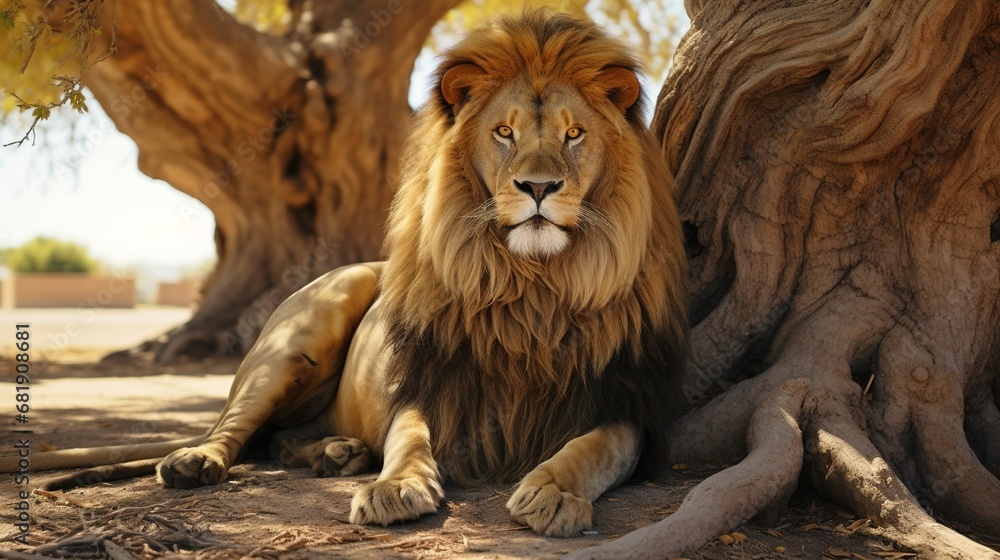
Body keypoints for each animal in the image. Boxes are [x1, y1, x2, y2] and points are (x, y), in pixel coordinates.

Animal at [3, 10, 687, 537]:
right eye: (503, 132)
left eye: (573, 134)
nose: (539, 188)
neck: (533, 286)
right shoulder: (428, 381)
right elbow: (410, 438)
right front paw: (397, 487)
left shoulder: (625, 396)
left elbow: (591, 449)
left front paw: (551, 492)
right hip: (306, 327)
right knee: (236, 428)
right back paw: (198, 461)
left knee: (279, 440)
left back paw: (337, 453)